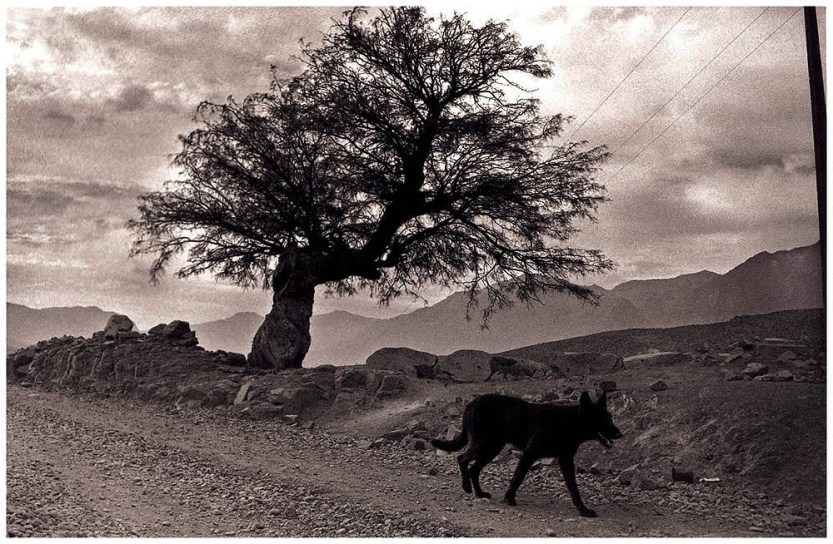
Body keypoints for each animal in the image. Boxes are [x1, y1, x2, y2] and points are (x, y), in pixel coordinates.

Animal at [431, 392, 623, 517]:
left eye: (610, 417)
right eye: (602, 418)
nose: (620, 434)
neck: (569, 423)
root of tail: (471, 403)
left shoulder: (566, 461)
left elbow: (574, 488)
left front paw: (583, 509)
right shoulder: (530, 453)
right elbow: (518, 477)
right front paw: (509, 498)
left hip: (491, 448)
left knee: (474, 469)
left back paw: (479, 493)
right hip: (484, 445)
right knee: (462, 459)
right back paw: (467, 487)